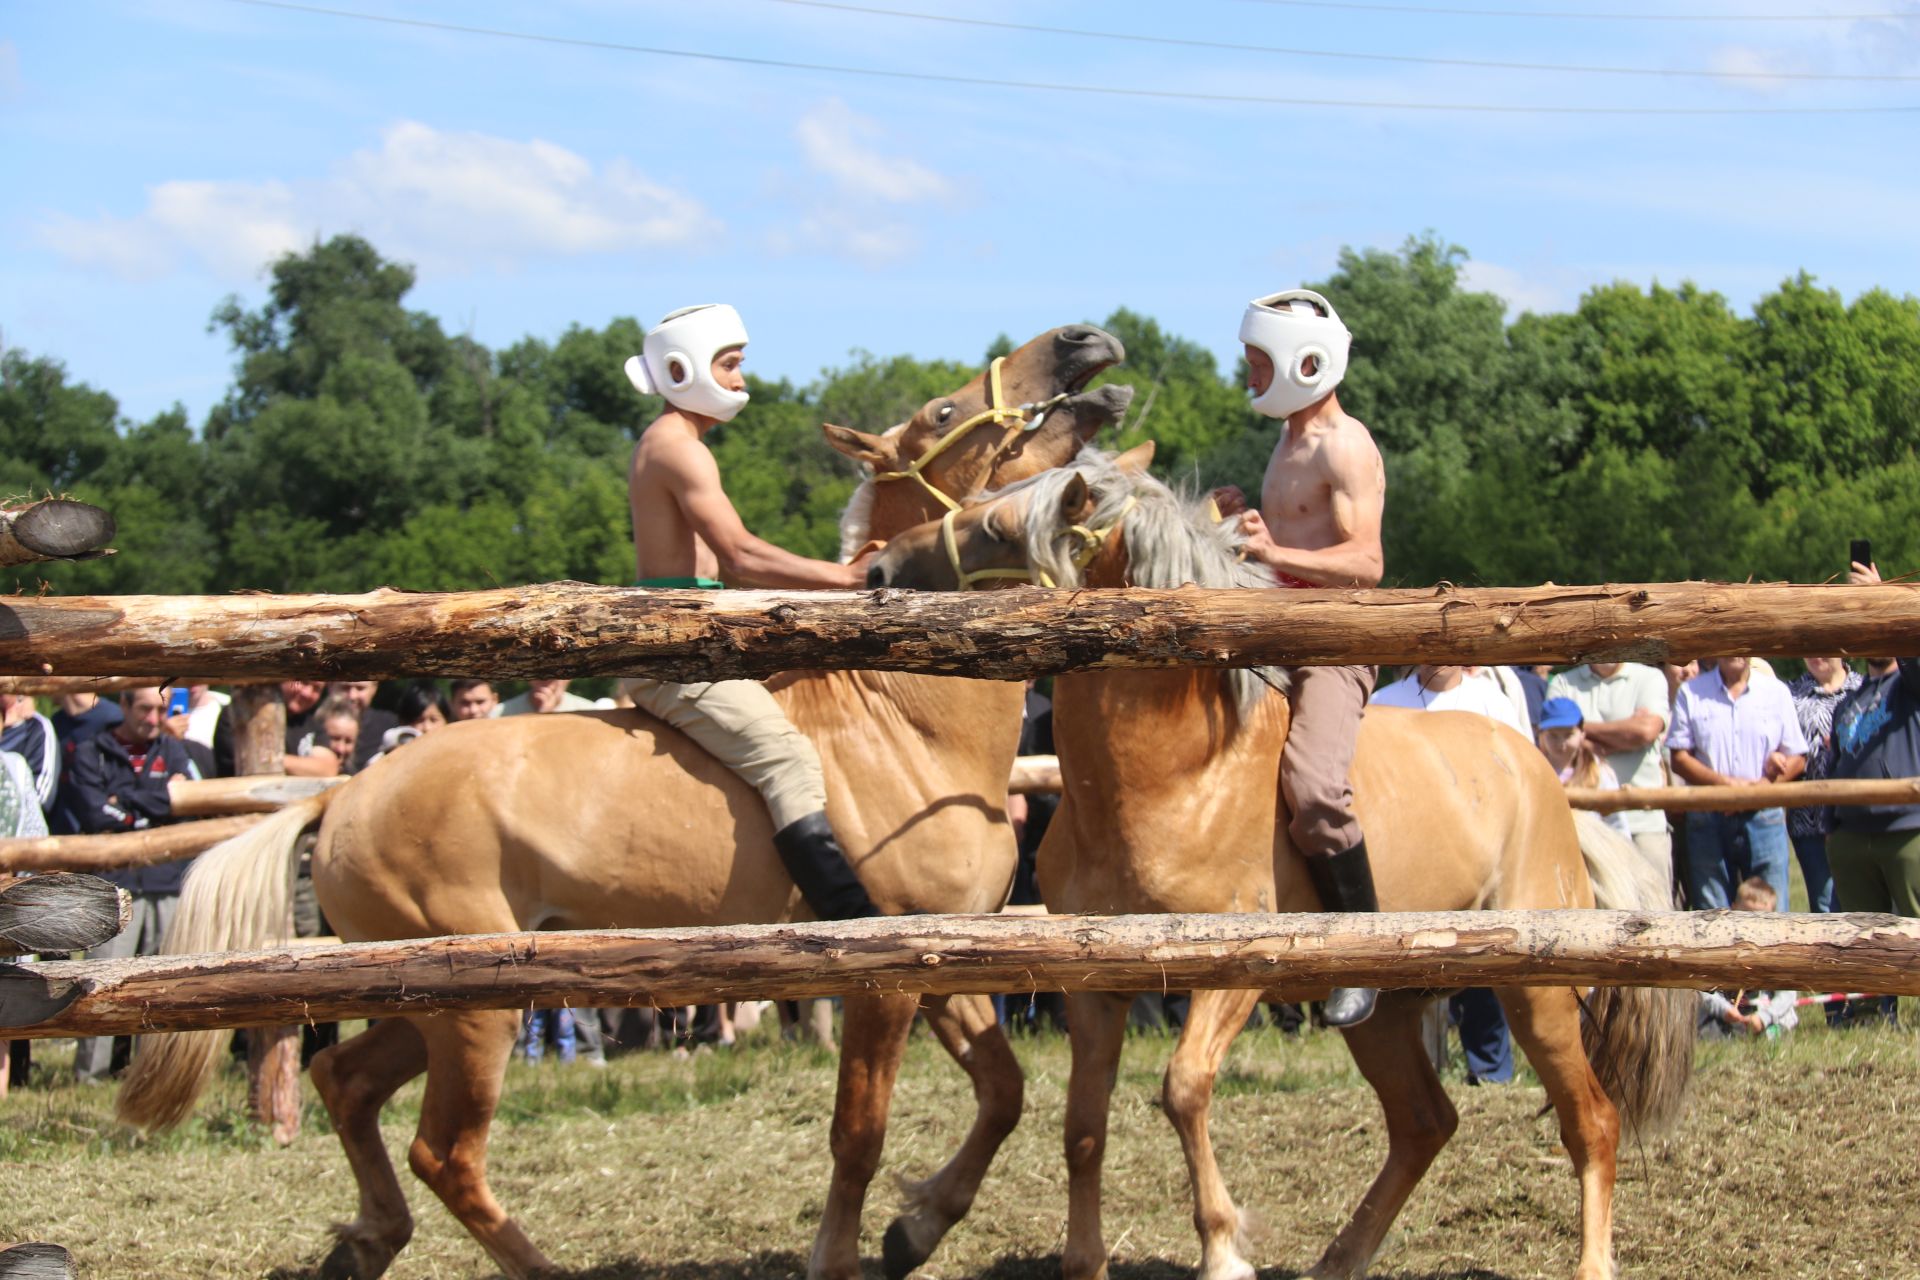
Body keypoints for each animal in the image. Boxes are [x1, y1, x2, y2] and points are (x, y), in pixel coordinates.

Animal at [120, 328, 1128, 1280]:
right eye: (943, 408)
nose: (1085, 343)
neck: (904, 713)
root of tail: (340, 797)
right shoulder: (881, 978)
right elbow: (859, 1135)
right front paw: (846, 1255)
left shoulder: (945, 961)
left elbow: (1003, 1092)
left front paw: (915, 1231)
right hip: (474, 1012)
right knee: (443, 1151)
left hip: (416, 1003)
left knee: (344, 1079)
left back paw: (366, 1243)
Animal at [871, 449, 1697, 1280]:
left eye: (999, 528)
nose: (877, 566)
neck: (1169, 775)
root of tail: (1541, 779)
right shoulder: (1095, 985)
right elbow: (1082, 1126)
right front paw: (1070, 1258)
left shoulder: (1233, 971)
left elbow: (1183, 1090)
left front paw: (1223, 1248)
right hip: (1390, 1011)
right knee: (1424, 1122)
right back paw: (1340, 1259)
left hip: (1539, 991)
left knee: (1591, 1120)